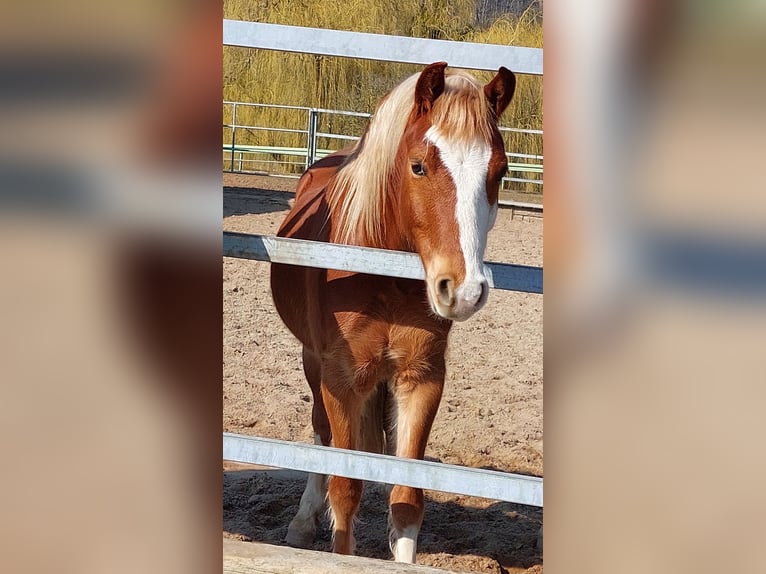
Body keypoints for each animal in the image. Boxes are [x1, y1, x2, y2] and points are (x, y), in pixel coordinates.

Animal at [270, 61, 516, 563]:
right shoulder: (341, 381)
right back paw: (302, 523)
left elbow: (406, 498)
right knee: (320, 434)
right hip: (312, 362)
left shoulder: (421, 379)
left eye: (499, 171)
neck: (379, 277)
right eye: (418, 166)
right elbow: (345, 491)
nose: (463, 291)